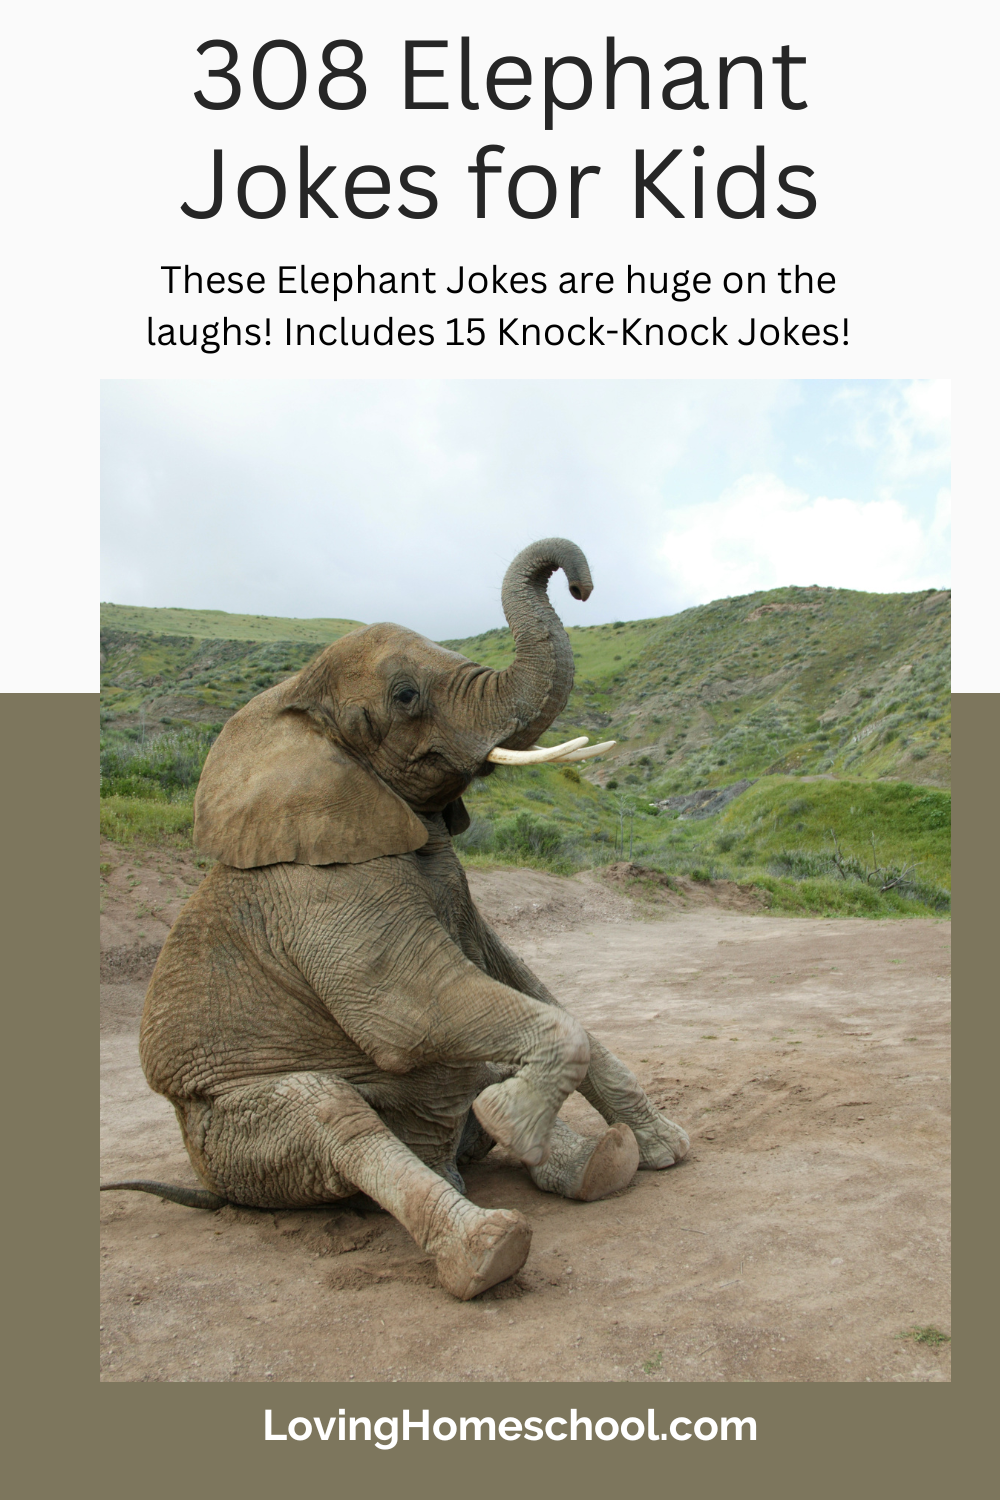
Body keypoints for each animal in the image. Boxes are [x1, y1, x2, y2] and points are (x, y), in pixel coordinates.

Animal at [102, 539, 689, 1300]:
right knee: (334, 1117)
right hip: (234, 1136)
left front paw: (666, 1149)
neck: (292, 705)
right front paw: (517, 1123)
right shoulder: (322, 886)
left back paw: (598, 1164)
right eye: (406, 696)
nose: (581, 585)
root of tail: (213, 1189)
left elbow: (523, 986)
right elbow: (407, 1012)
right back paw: (488, 1247)